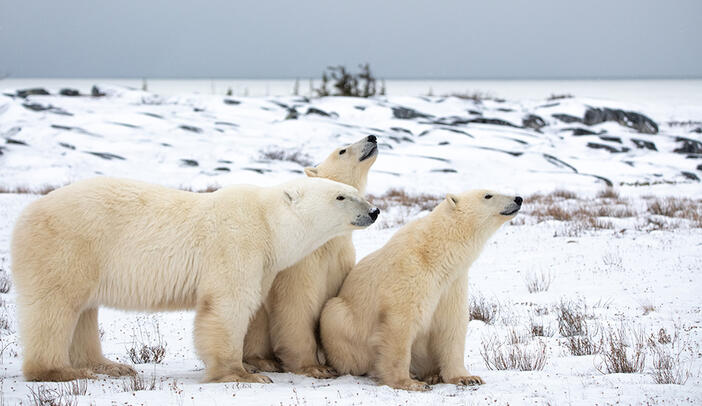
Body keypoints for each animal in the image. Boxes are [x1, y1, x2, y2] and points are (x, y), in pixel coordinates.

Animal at [9, 176, 380, 382]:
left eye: (353, 190)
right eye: (341, 196)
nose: (374, 211)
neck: (269, 224)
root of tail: (26, 213)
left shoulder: (264, 263)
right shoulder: (237, 244)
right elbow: (228, 305)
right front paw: (242, 374)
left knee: (84, 311)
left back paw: (110, 366)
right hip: (68, 246)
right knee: (55, 307)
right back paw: (58, 371)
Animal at [246, 136, 380, 378]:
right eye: (342, 151)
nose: (372, 137)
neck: (326, 240)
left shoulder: (340, 260)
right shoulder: (302, 263)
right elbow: (296, 304)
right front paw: (314, 367)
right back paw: (262, 361)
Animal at [320, 190, 524, 390]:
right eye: (488, 195)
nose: (518, 198)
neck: (436, 254)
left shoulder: (452, 285)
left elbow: (452, 325)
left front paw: (467, 377)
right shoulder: (410, 275)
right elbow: (401, 326)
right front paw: (409, 382)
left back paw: (433, 375)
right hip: (342, 319)